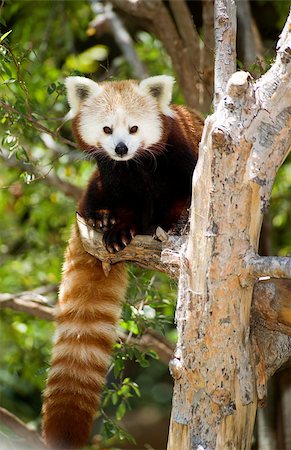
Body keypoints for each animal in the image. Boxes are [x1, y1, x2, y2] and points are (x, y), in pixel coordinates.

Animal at [42, 75, 204, 448]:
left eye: (133, 128)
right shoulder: (114, 176)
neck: (137, 166)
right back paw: (100, 218)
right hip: (93, 189)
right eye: (106, 128)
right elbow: (124, 203)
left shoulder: (180, 158)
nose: (119, 149)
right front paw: (116, 229)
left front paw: (176, 223)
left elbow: (183, 197)